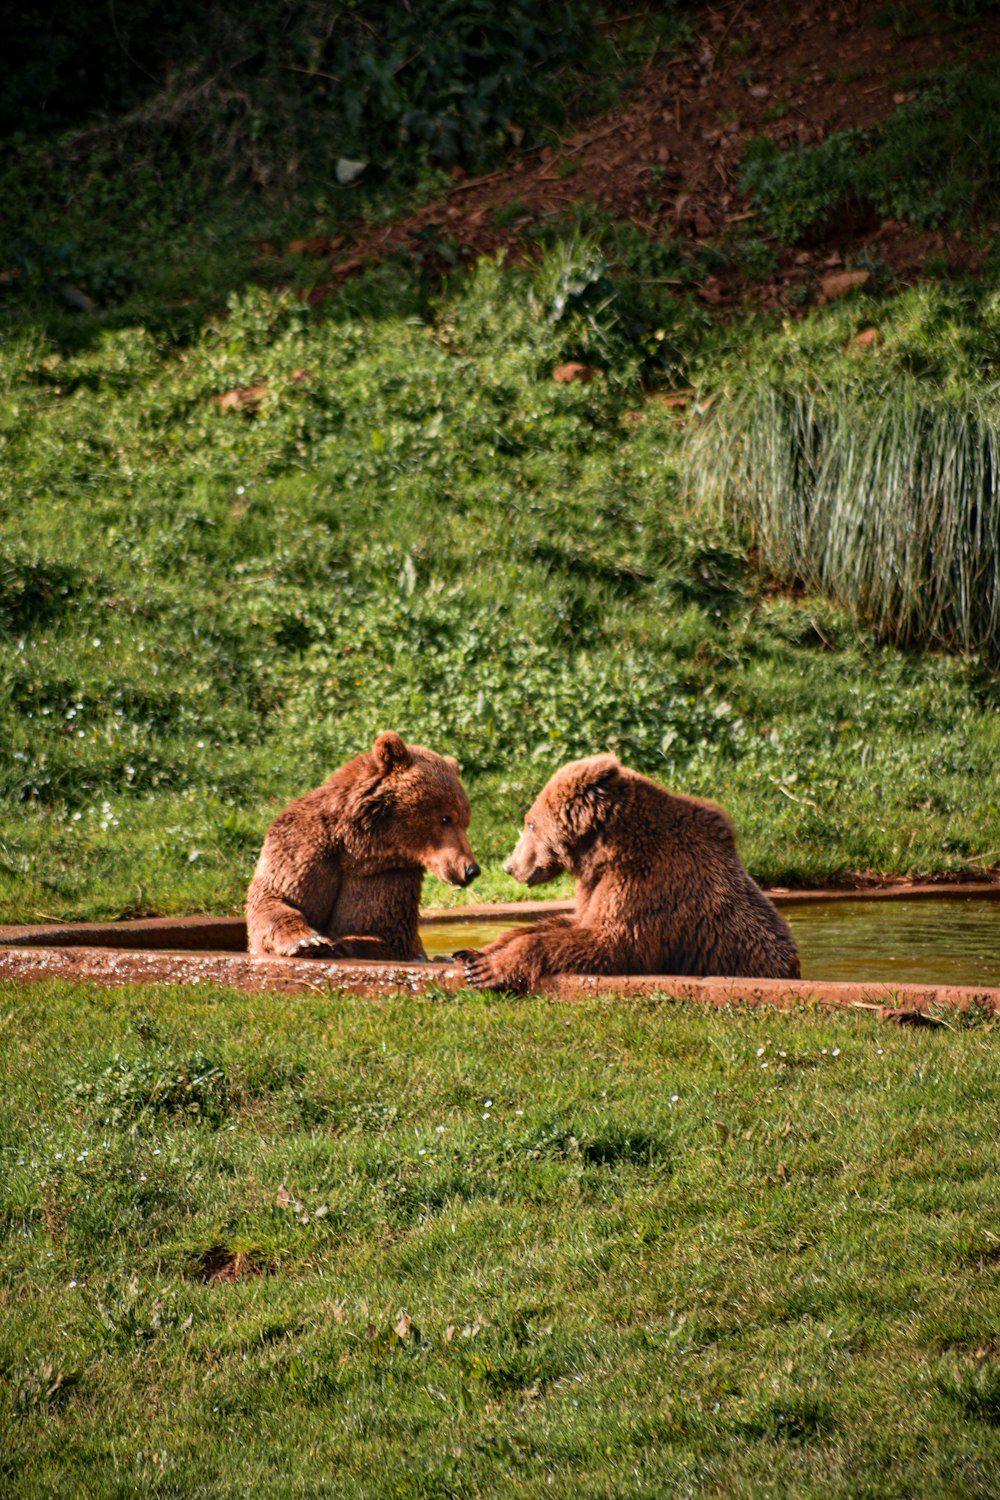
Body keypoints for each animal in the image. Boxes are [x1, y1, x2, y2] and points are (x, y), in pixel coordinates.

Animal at [242, 729, 476, 960]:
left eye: (465, 821)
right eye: (446, 818)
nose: (471, 869)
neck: (357, 846)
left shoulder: (385, 876)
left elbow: (376, 930)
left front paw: (338, 945)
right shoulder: (301, 848)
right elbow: (275, 897)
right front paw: (308, 941)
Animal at [458, 756, 797, 990]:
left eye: (530, 824)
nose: (509, 866)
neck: (605, 851)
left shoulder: (647, 885)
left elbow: (609, 942)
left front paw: (487, 971)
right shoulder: (596, 887)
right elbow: (564, 923)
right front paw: (472, 954)